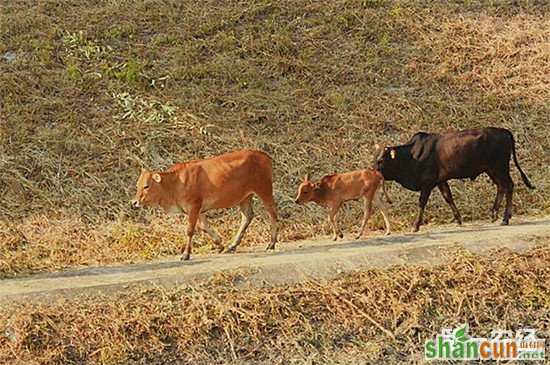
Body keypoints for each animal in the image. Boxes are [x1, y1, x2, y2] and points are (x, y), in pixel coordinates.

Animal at [131, 149, 280, 260]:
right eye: (137, 185)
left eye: (146, 186)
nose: (134, 202)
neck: (175, 183)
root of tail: (265, 156)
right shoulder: (199, 210)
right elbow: (204, 227)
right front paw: (220, 244)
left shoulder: (194, 206)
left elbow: (190, 230)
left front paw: (185, 254)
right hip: (245, 197)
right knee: (247, 217)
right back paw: (232, 246)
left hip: (264, 190)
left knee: (272, 213)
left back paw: (271, 243)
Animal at [376, 127, 536, 230]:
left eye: (381, 160)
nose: (373, 172)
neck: (411, 155)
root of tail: (505, 132)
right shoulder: (440, 181)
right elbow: (448, 198)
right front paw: (458, 219)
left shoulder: (427, 183)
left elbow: (422, 203)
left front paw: (416, 225)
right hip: (492, 170)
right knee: (501, 187)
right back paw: (494, 214)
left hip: (499, 168)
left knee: (508, 186)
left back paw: (505, 218)